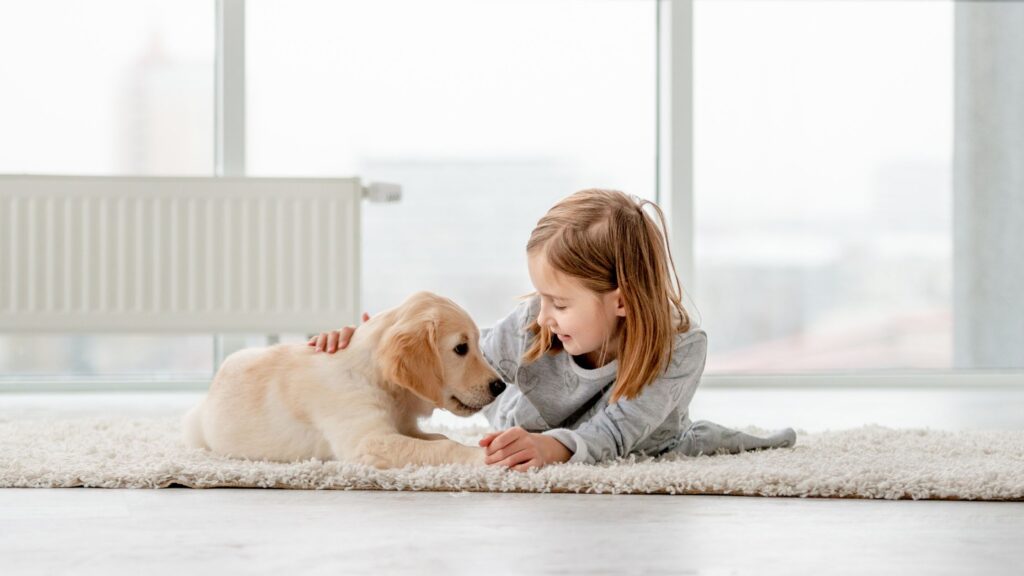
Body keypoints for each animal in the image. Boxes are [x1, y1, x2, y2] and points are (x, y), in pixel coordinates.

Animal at [184, 291, 507, 467]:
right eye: (461, 348)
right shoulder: (369, 440)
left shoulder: (403, 427)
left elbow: (439, 438)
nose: (500, 386)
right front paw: (483, 457)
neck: (376, 378)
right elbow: (443, 447)